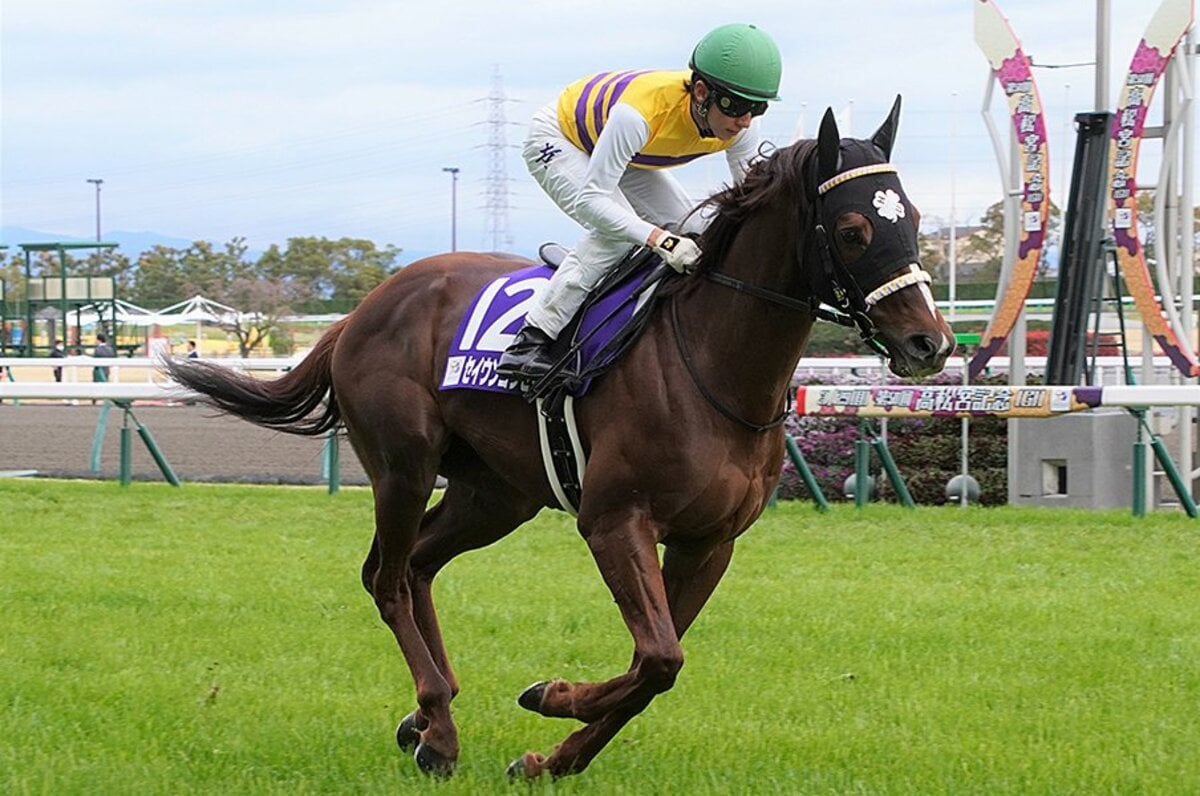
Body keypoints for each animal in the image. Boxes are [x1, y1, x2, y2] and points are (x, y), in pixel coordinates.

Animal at [164, 96, 953, 780]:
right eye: (852, 230)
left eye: (912, 217)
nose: (930, 343)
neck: (712, 366)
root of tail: (364, 307)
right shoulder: (613, 520)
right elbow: (660, 659)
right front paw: (550, 697)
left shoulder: (708, 542)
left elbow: (654, 665)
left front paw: (551, 756)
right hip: (402, 466)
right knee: (385, 578)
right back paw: (438, 729)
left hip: (495, 494)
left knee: (414, 567)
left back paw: (430, 715)